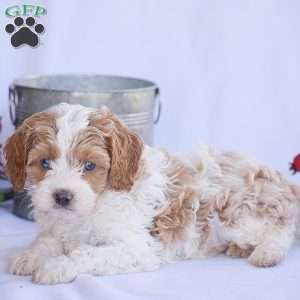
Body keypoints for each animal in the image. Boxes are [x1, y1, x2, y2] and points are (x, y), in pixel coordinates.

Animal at [4, 102, 300, 284]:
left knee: (283, 227)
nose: (62, 196)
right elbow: (46, 241)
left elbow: (86, 253)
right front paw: (29, 256)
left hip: (238, 214)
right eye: (44, 163)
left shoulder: (138, 248)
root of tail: (282, 181)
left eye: (89, 166)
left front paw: (55, 267)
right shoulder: (55, 228)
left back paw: (267, 252)